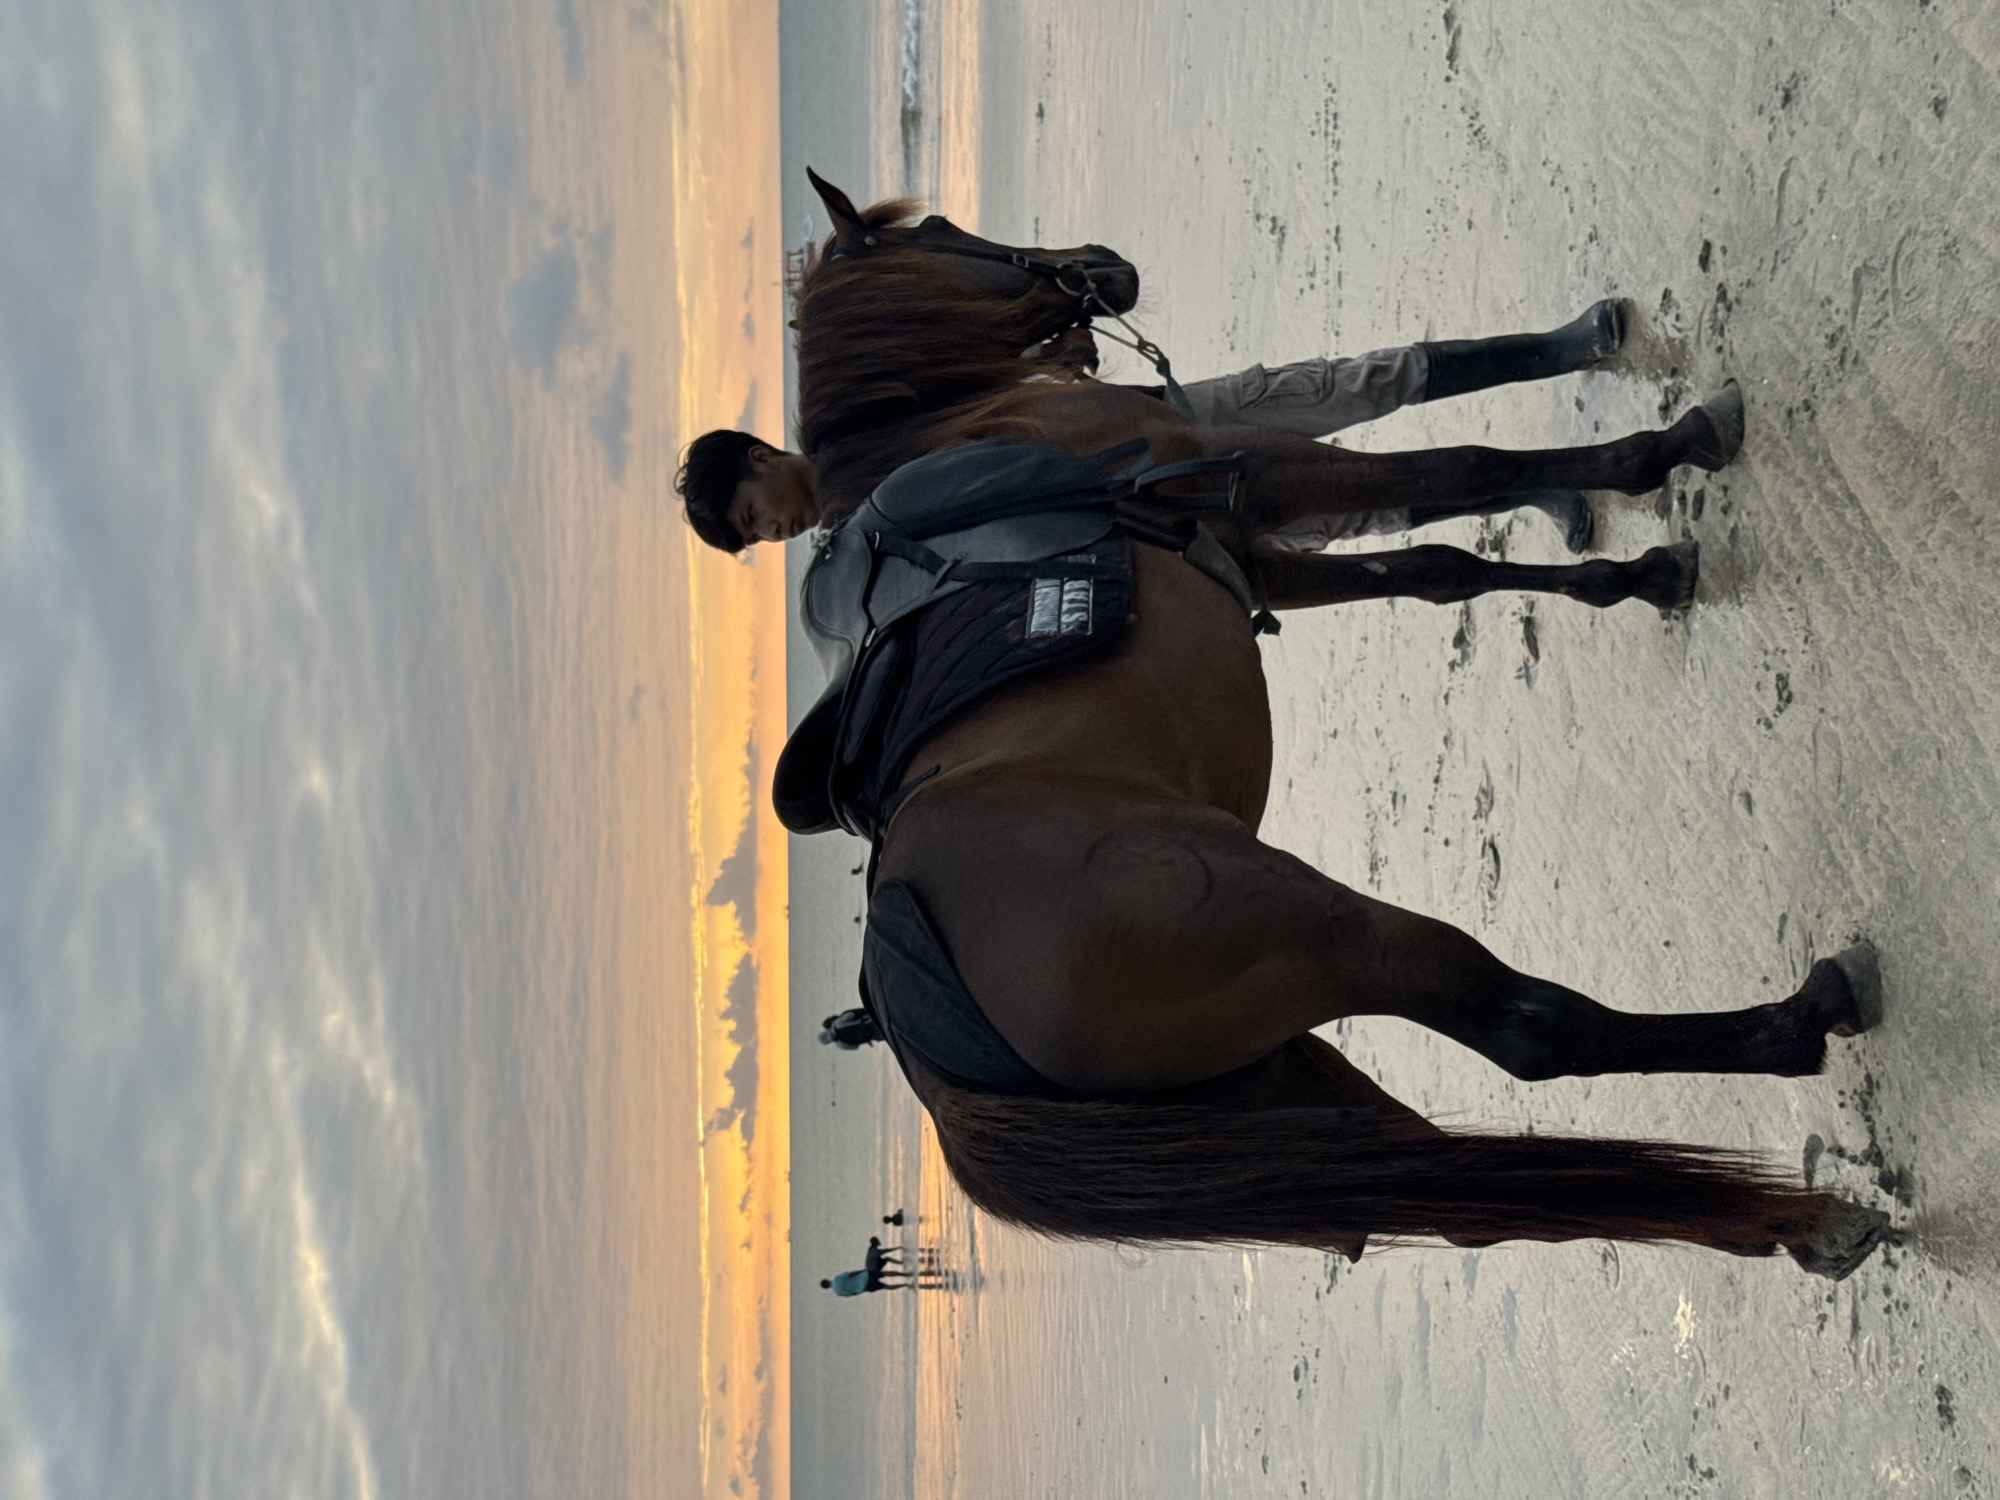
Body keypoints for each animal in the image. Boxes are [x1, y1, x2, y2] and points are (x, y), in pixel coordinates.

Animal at [783, 174, 1893, 1277]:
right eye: (939, 229)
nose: (1104, 264)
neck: (983, 430)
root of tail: (928, 1045)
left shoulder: (1256, 548)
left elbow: (1437, 568)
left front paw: (1638, 575)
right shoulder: (1261, 470)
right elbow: (1464, 467)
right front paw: (1668, 451)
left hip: (1273, 1093)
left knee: (1466, 1196)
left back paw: (1801, 1222)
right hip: (1317, 933)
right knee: (1525, 1029)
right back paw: (1799, 1023)